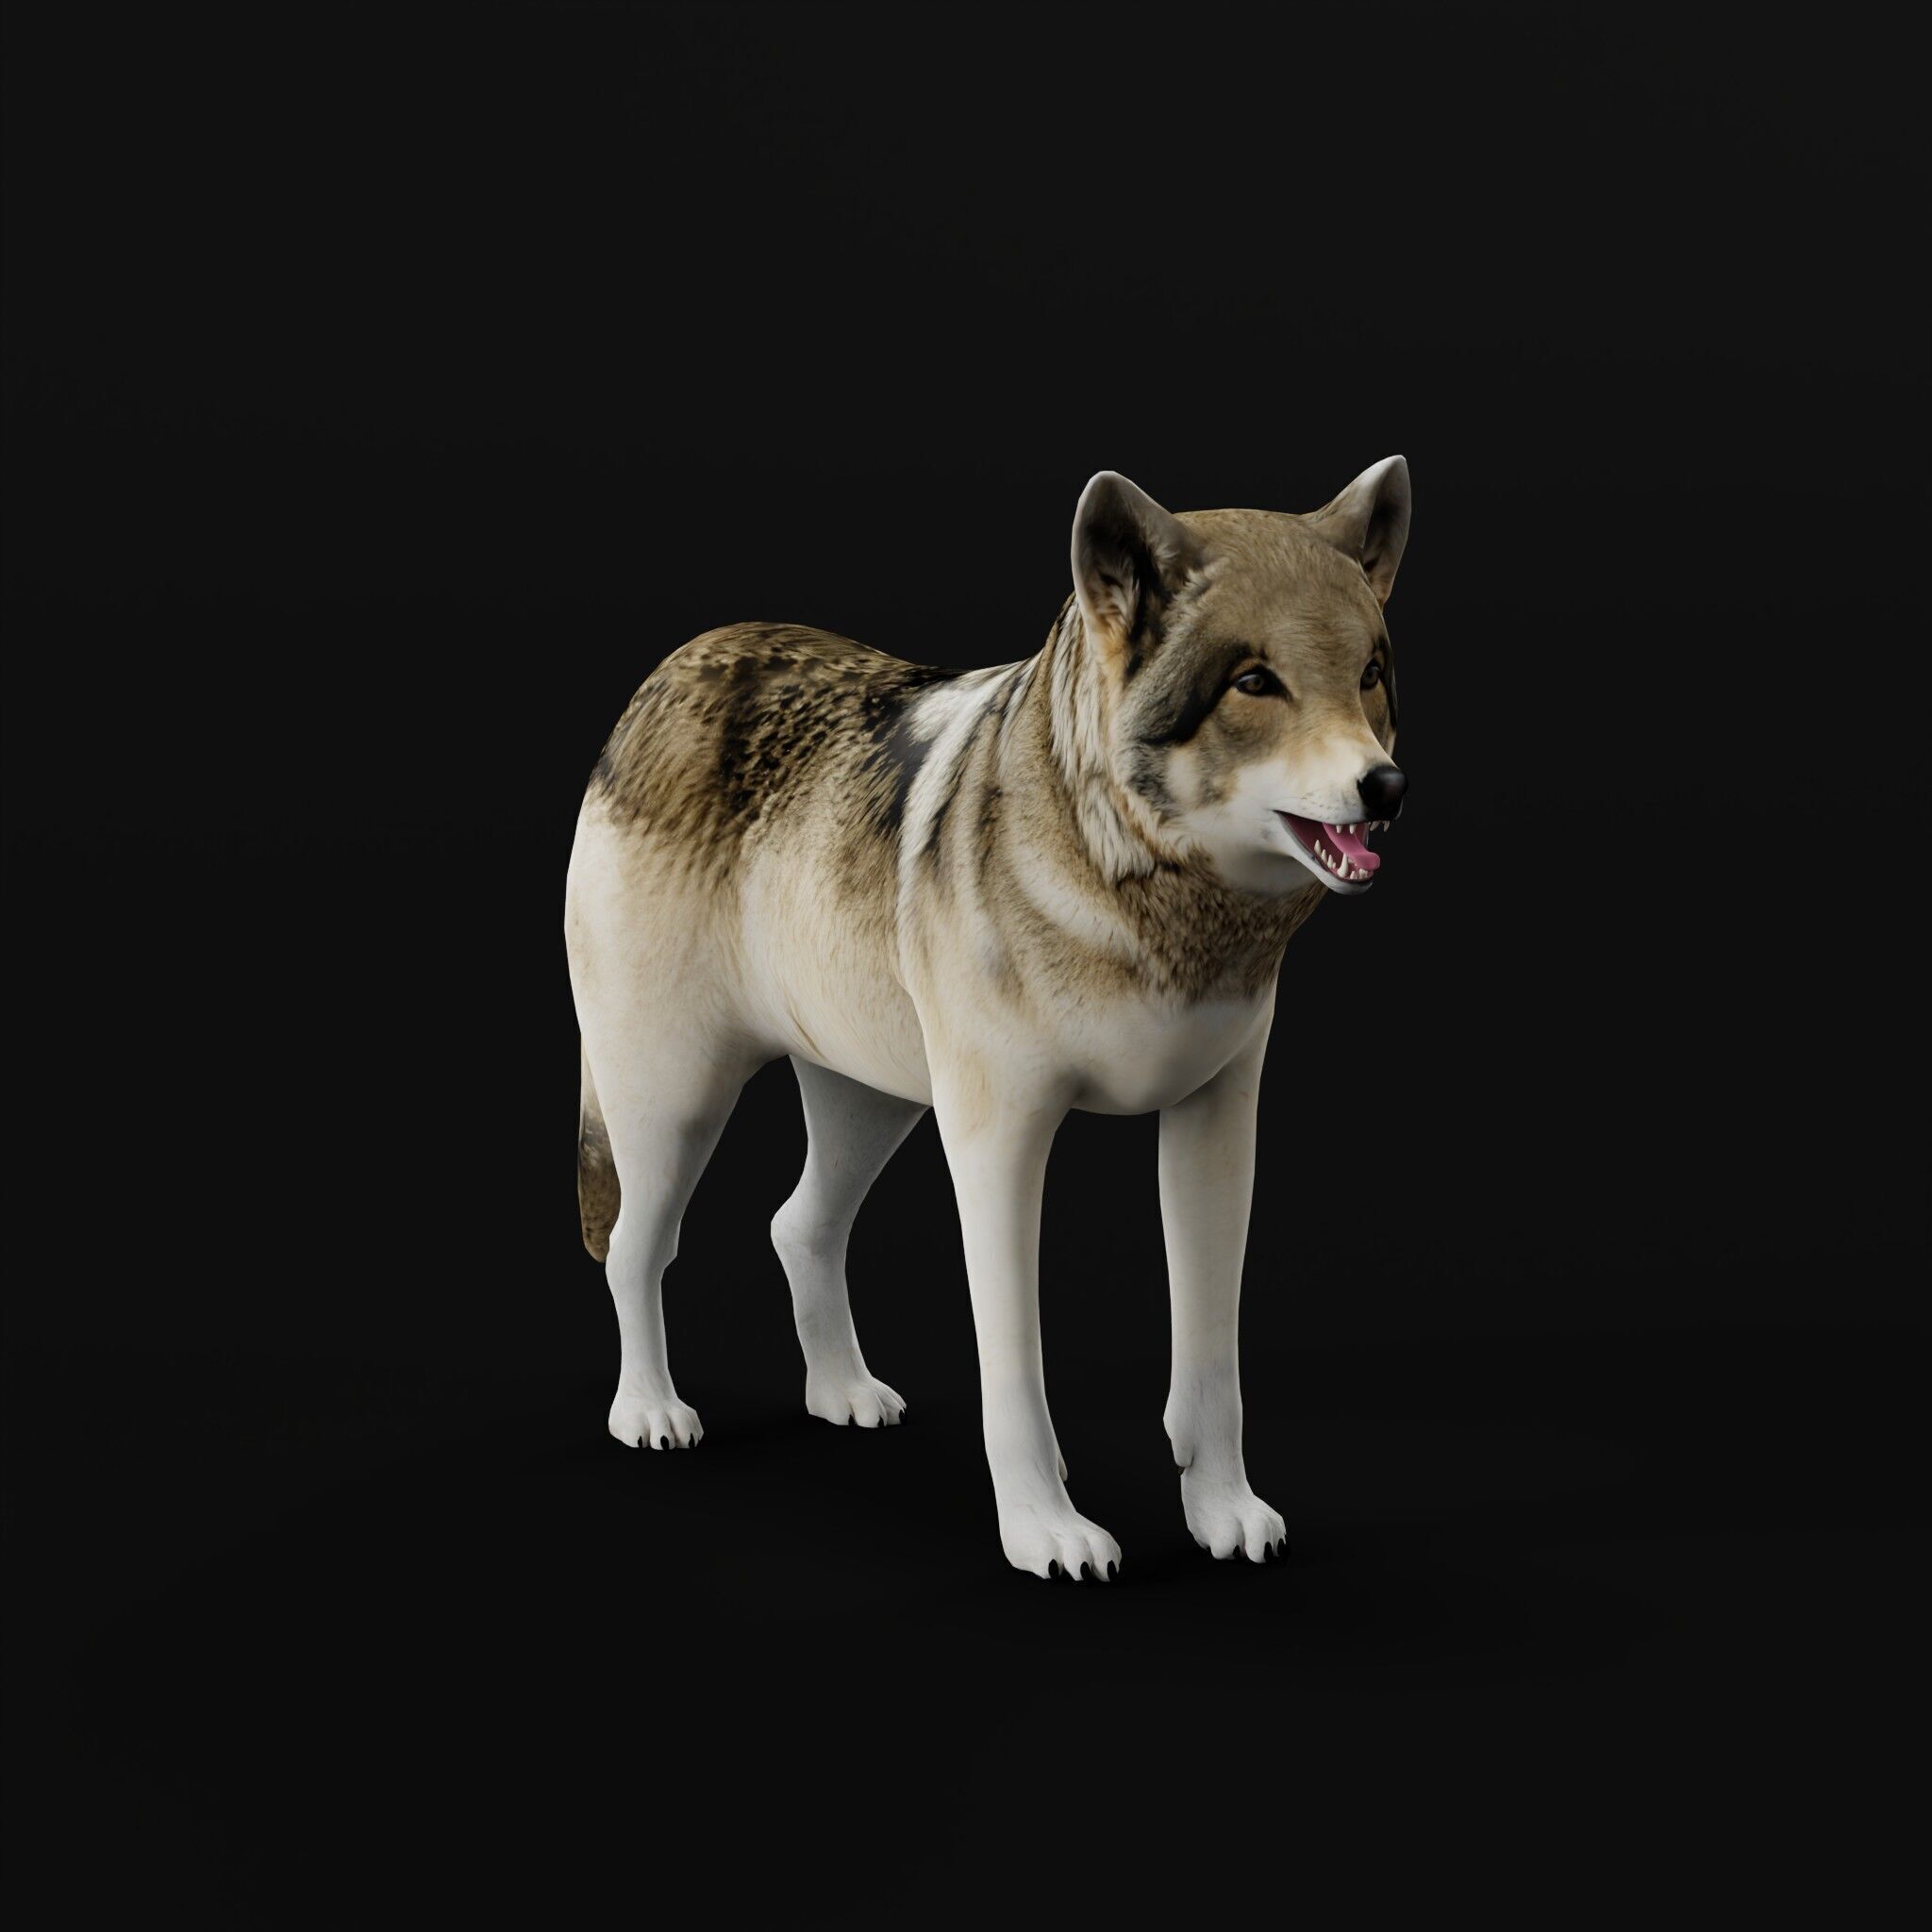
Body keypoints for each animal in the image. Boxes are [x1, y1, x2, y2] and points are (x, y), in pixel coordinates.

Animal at [565, 458, 1410, 1579]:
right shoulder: (998, 1142)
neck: (1154, 908)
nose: (1385, 787)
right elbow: (1014, 1367)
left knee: (798, 1224)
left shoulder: (1217, 1131)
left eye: (1369, 673)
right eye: (1254, 683)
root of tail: (672, 669)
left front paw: (1221, 1510)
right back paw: (651, 1412)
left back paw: (842, 1394)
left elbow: (1212, 1361)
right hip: (673, 1107)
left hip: (872, 1101)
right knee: (633, 1246)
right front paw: (1047, 1532)